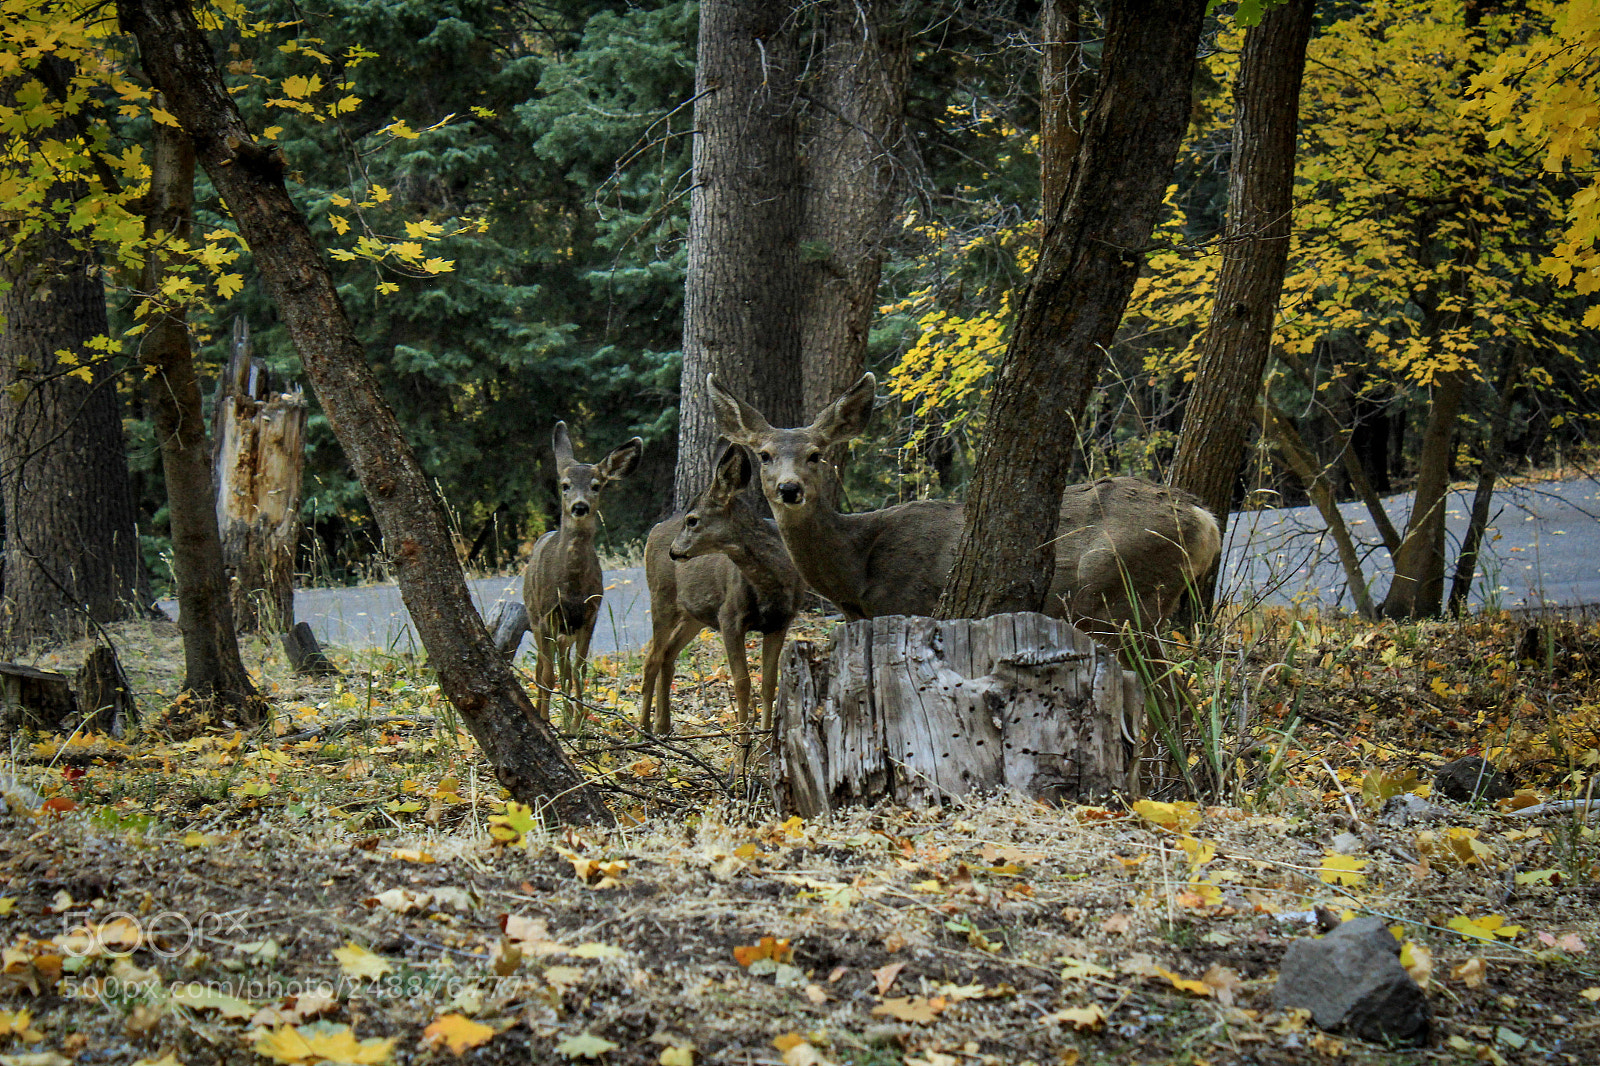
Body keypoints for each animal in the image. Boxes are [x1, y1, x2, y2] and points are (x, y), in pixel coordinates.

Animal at [522, 421, 642, 724]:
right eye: (564, 485)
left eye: (596, 486)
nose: (579, 506)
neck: (571, 587)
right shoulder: (547, 614)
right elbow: (547, 674)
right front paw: (547, 720)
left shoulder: (591, 613)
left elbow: (579, 671)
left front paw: (577, 724)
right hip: (534, 614)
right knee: (543, 667)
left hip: (567, 630)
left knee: (565, 668)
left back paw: (566, 714)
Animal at [639, 444, 804, 737]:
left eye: (692, 520)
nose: (674, 550)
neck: (770, 583)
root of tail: (654, 529)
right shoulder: (729, 617)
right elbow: (742, 682)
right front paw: (743, 738)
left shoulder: (780, 622)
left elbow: (769, 683)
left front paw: (764, 741)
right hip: (662, 598)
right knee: (652, 658)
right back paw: (644, 728)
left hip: (694, 615)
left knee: (668, 654)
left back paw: (663, 726)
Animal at [707, 372, 1222, 665]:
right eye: (765, 454)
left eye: (816, 454)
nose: (789, 489)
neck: (856, 573)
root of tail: (1205, 518)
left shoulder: (909, 605)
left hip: (1120, 597)